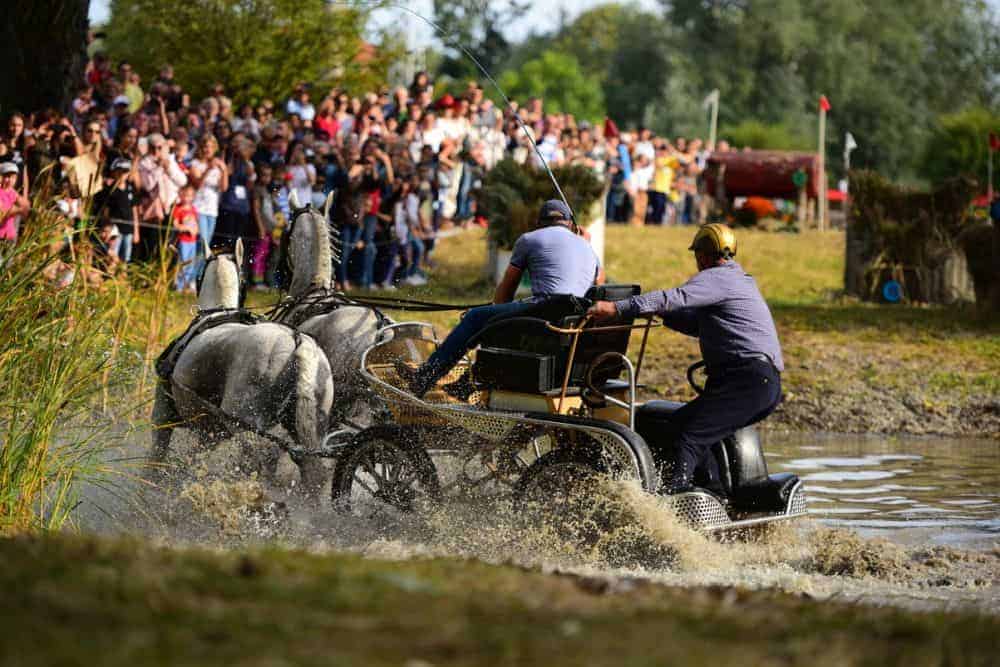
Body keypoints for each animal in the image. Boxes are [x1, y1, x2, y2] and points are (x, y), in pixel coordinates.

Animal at [149, 241, 336, 496]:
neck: (218, 312)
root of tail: (297, 341)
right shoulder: (208, 435)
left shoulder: (163, 416)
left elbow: (154, 460)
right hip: (310, 432)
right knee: (312, 472)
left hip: (245, 424)